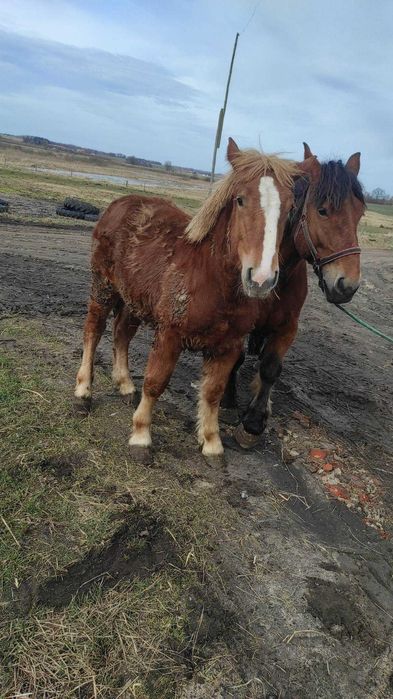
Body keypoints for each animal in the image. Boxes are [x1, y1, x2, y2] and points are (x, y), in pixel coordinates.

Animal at [74, 141, 310, 460]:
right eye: (240, 200)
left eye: (290, 208)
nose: (261, 278)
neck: (213, 281)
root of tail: (119, 203)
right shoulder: (169, 335)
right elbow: (155, 382)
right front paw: (141, 436)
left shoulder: (228, 346)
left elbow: (213, 392)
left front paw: (211, 442)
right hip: (103, 286)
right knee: (94, 330)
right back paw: (83, 391)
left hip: (134, 299)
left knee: (121, 333)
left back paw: (125, 385)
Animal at [220, 143, 364, 448]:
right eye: (322, 211)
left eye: (360, 214)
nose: (347, 285)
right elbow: (235, 357)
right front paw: (228, 400)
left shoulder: (288, 326)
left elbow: (271, 368)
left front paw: (254, 420)